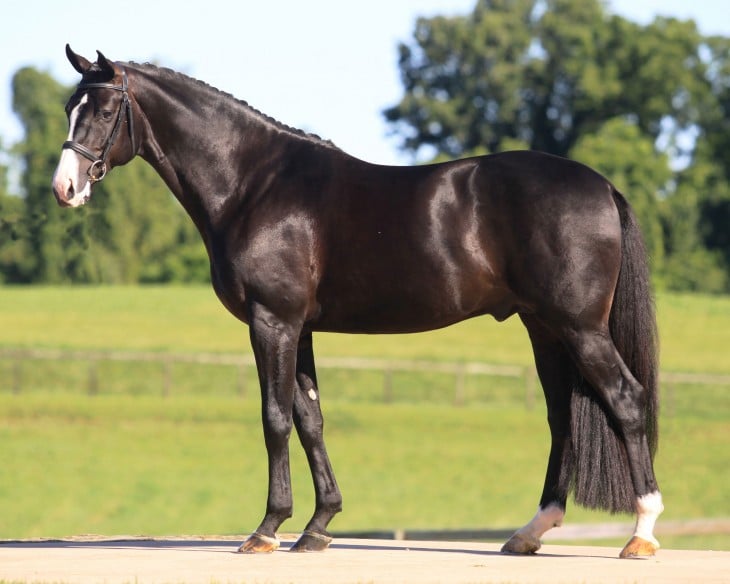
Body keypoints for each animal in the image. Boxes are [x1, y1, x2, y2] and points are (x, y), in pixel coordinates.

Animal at [51, 45, 664, 556]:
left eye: (104, 111)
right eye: (68, 108)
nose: (65, 188)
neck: (254, 185)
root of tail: (603, 186)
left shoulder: (271, 321)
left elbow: (275, 418)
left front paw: (267, 529)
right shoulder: (299, 328)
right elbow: (310, 419)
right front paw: (318, 527)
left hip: (580, 327)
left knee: (627, 401)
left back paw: (641, 533)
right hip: (545, 328)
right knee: (563, 416)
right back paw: (529, 533)